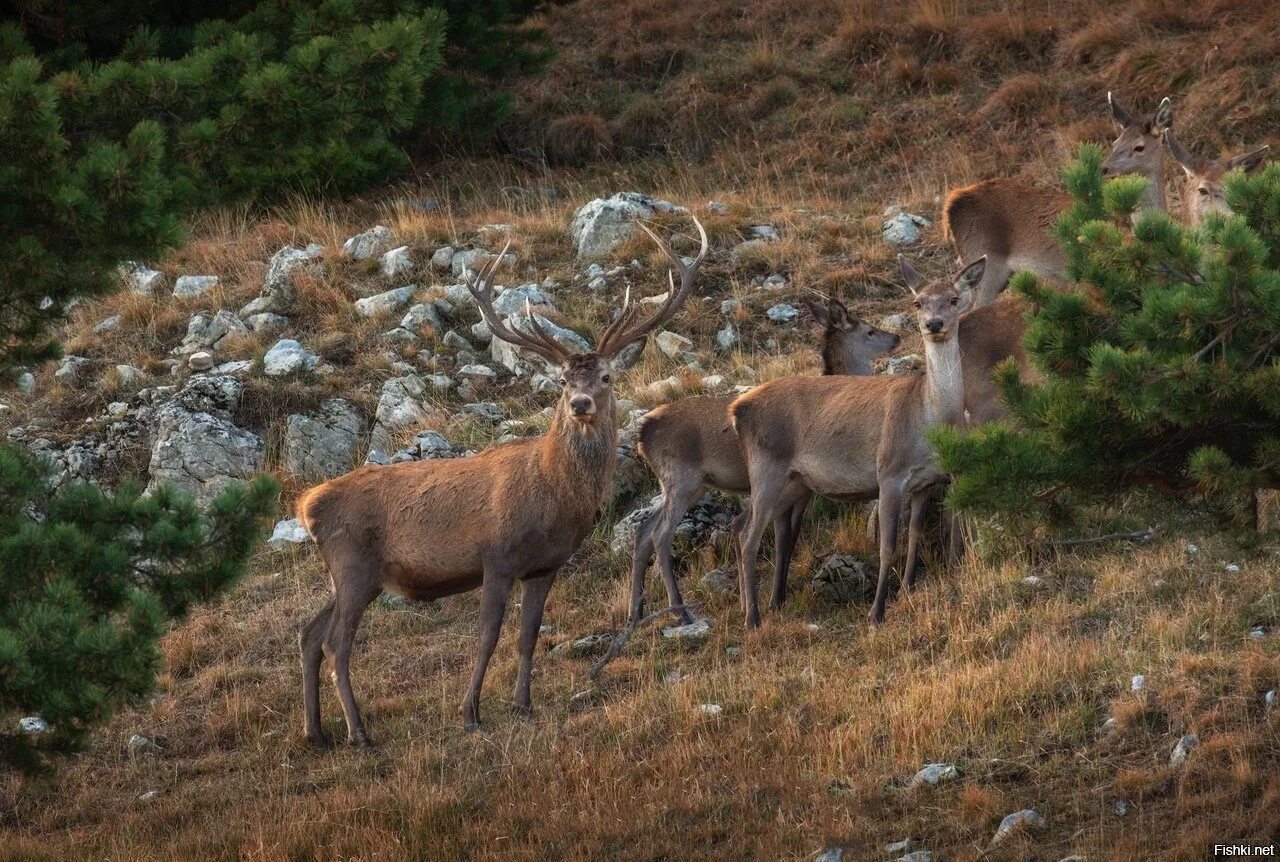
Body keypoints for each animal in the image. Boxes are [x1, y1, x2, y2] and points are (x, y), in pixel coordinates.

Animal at [296, 216, 711, 748]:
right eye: (561, 381)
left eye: (607, 377)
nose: (579, 404)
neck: (552, 497)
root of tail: (308, 504)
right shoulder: (495, 556)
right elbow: (488, 636)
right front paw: (470, 712)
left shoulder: (545, 565)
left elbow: (528, 635)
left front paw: (523, 703)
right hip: (354, 564)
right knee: (336, 643)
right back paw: (358, 732)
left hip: (349, 573)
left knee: (310, 633)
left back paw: (316, 731)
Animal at [629, 299, 901, 622]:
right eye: (869, 331)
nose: (896, 338)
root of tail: (642, 436)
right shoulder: (797, 488)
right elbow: (783, 539)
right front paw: (773, 599)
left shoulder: (799, 490)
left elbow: (780, 537)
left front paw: (764, 599)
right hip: (681, 478)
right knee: (661, 535)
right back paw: (680, 612)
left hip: (686, 485)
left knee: (644, 530)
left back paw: (636, 612)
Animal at [727, 253, 983, 625]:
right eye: (917, 302)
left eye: (953, 299)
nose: (933, 324)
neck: (932, 418)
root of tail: (736, 410)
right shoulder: (889, 471)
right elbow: (887, 545)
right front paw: (876, 612)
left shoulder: (928, 481)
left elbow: (915, 536)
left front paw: (907, 589)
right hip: (766, 469)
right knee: (749, 536)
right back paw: (753, 618)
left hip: (793, 482)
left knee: (745, 527)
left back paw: (759, 605)